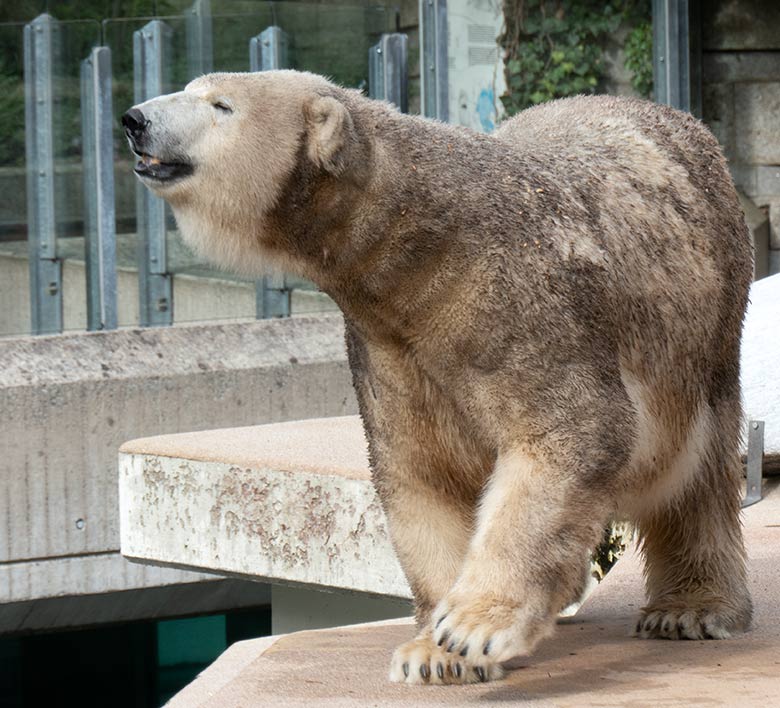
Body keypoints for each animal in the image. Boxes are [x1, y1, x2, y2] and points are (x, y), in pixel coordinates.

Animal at [123, 69, 756, 684]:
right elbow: (422, 472)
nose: (135, 120)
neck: (423, 241)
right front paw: (432, 653)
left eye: (221, 104)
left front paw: (476, 628)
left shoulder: (523, 306)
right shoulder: (388, 346)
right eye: (192, 87)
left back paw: (689, 609)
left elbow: (571, 432)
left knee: (698, 471)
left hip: (708, 326)